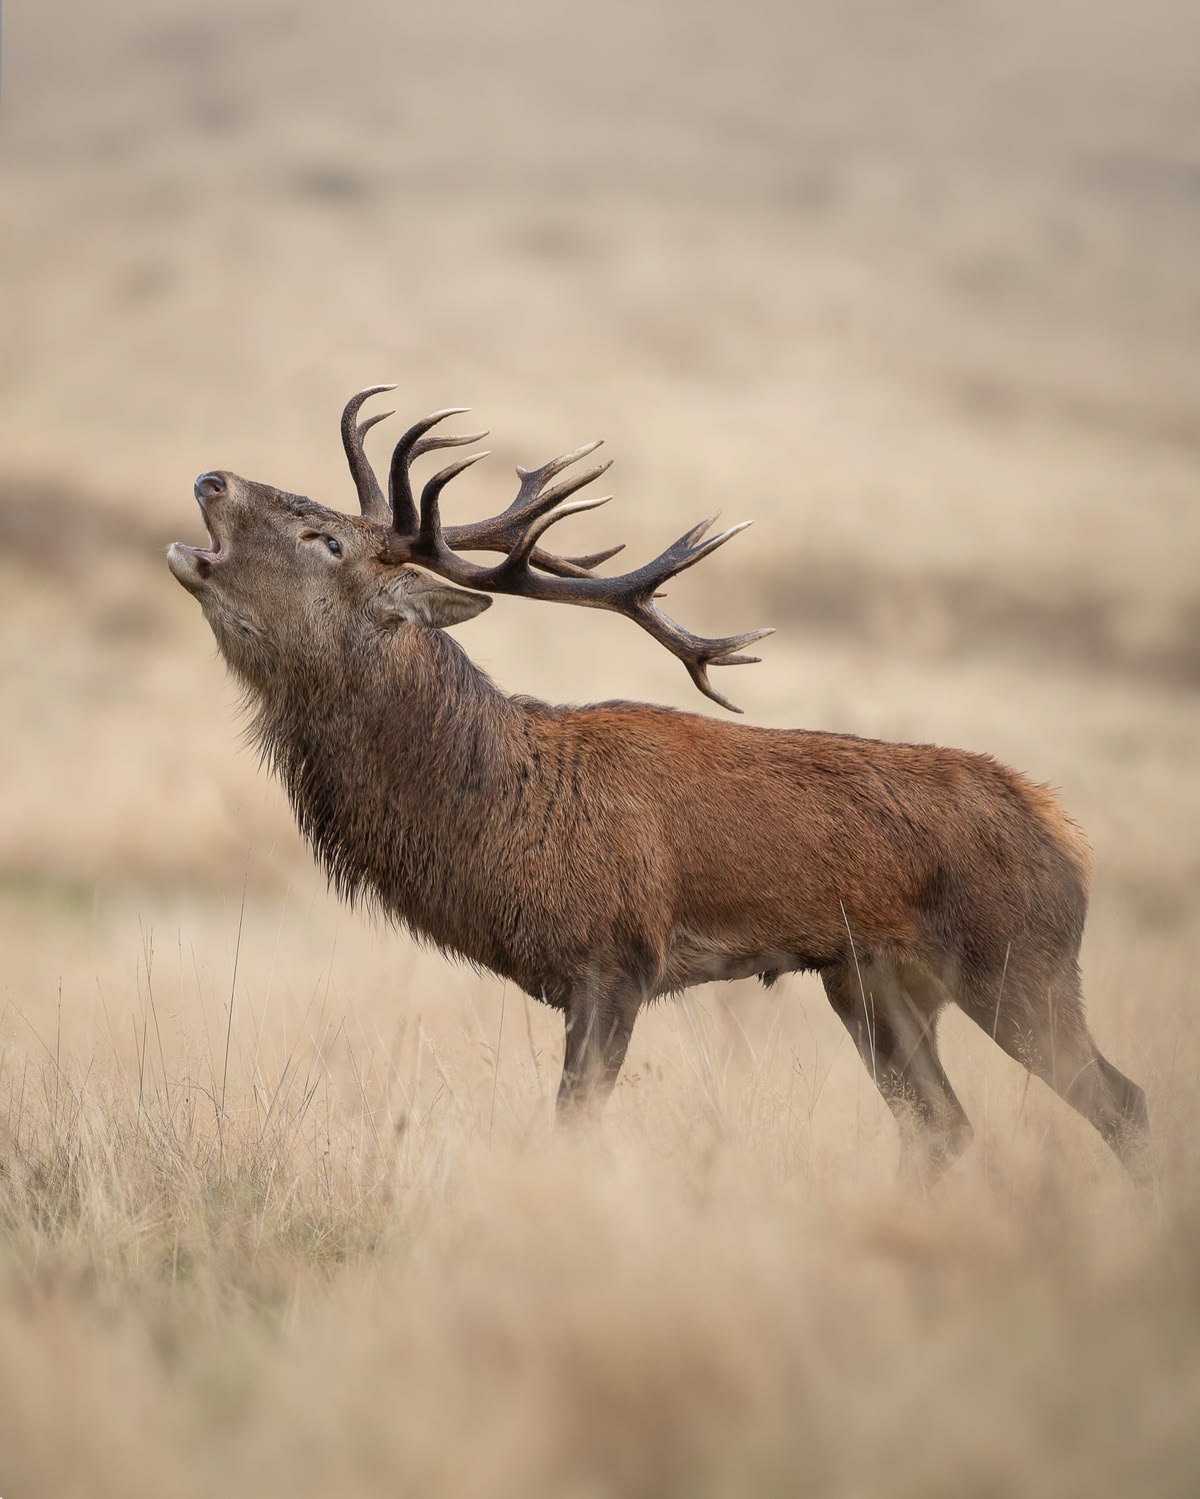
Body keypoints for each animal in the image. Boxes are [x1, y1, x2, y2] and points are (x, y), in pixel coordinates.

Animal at [167, 386, 1149, 1181]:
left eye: (325, 538)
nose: (211, 478)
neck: (497, 823)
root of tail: (1069, 834)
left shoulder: (615, 958)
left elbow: (573, 1124)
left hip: (1018, 958)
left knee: (1123, 1103)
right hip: (873, 981)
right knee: (942, 1125)